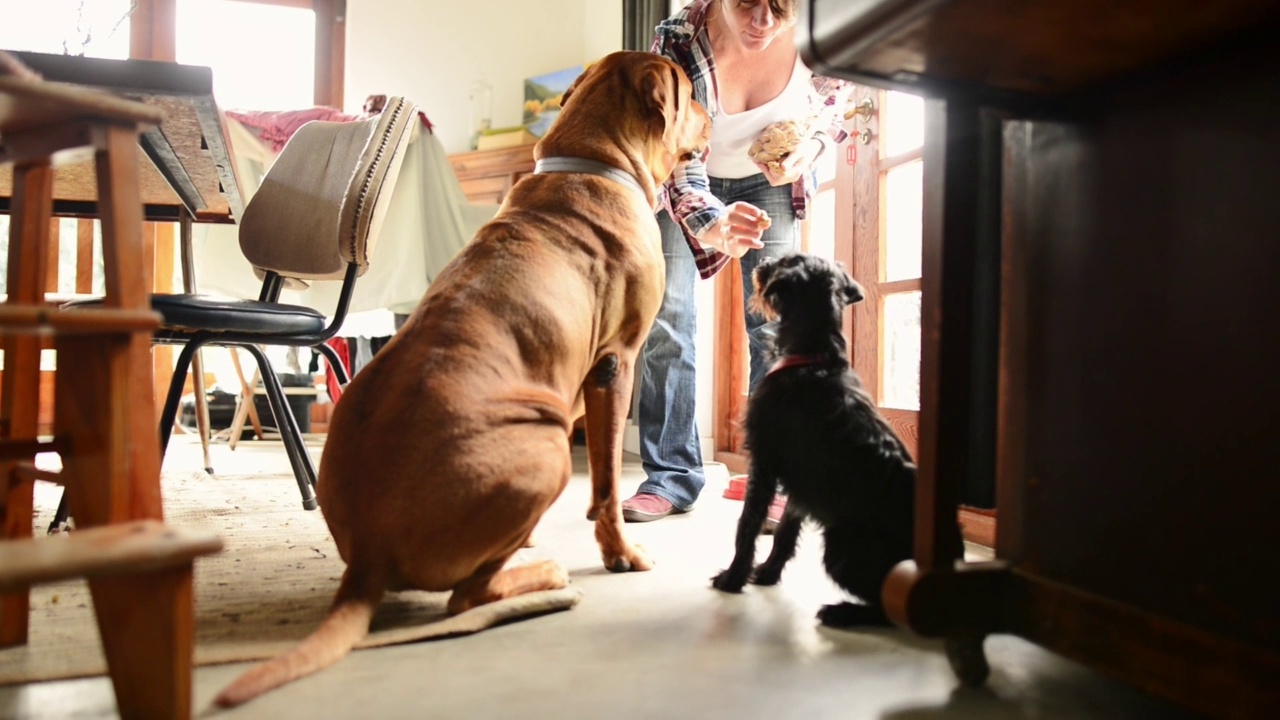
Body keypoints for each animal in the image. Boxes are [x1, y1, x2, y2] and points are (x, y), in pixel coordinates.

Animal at [212, 51, 711, 707]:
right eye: (690, 93)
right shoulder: (615, 365)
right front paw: (621, 553)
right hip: (546, 452)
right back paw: (542, 573)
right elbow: (605, 486)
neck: (596, 161)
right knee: (465, 597)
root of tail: (367, 560)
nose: (713, 114)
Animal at [716, 254, 957, 625]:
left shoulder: (764, 464)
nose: (764, 259)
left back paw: (842, 612)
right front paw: (768, 573)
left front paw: (732, 578)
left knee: (893, 606)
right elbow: (785, 533)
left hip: (839, 551)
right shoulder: (798, 484)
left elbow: (748, 524)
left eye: (786, 261)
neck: (815, 355)